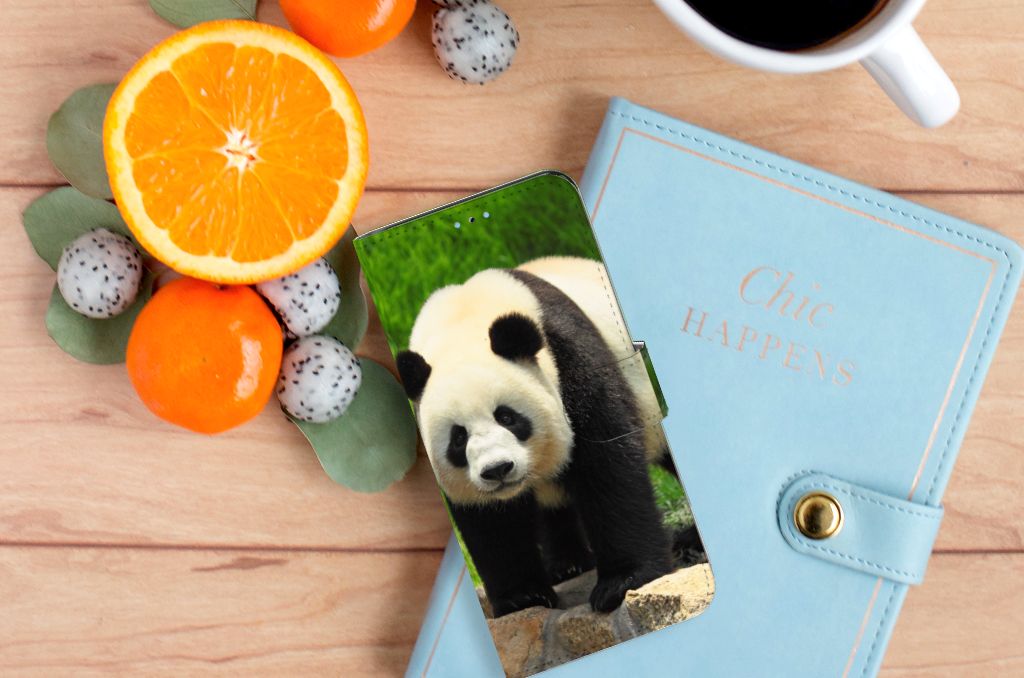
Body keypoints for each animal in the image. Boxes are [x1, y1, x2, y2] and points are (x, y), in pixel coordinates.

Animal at [396, 256, 686, 617]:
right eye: (458, 438)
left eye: (507, 417)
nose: (497, 470)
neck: (462, 323)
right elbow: (490, 521)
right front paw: (522, 597)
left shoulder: (569, 359)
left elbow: (607, 467)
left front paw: (622, 583)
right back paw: (567, 563)